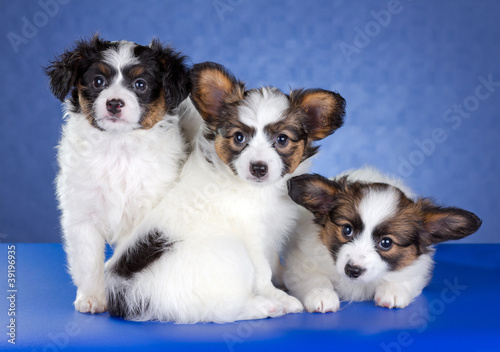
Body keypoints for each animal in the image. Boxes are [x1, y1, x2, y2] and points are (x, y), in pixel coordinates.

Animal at [45, 33, 190, 314]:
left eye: (140, 84)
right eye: (98, 81)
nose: (114, 103)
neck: (118, 148)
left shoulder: (145, 215)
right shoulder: (82, 214)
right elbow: (88, 261)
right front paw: (92, 297)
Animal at [104, 62, 348, 322]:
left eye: (282, 139)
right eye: (239, 137)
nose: (258, 167)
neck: (258, 190)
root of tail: (128, 295)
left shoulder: (269, 234)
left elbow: (273, 262)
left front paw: (283, 278)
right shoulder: (252, 238)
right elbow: (263, 273)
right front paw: (280, 296)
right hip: (230, 257)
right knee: (224, 309)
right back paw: (266, 306)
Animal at [284, 167, 482, 310]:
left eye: (386, 243)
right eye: (347, 230)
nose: (353, 271)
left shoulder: (417, 270)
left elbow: (401, 277)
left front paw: (393, 290)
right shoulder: (300, 264)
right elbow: (315, 278)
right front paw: (321, 294)